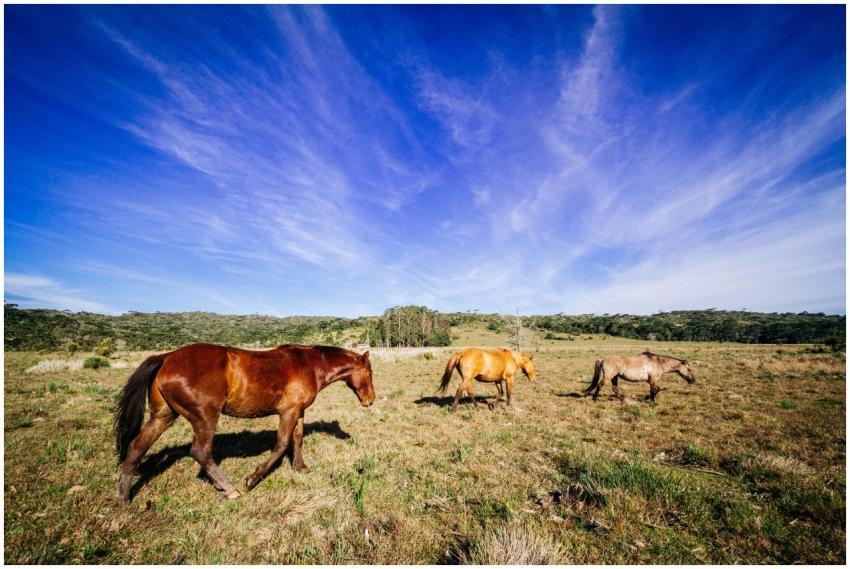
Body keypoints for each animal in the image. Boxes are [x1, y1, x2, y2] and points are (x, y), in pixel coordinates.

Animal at [113, 343, 375, 504]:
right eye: (370, 373)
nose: (370, 400)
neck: (309, 364)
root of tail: (166, 357)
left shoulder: (298, 411)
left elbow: (297, 439)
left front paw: (300, 467)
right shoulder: (288, 412)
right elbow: (281, 444)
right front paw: (253, 478)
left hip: (163, 416)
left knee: (136, 448)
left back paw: (123, 498)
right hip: (205, 416)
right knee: (200, 452)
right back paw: (230, 489)